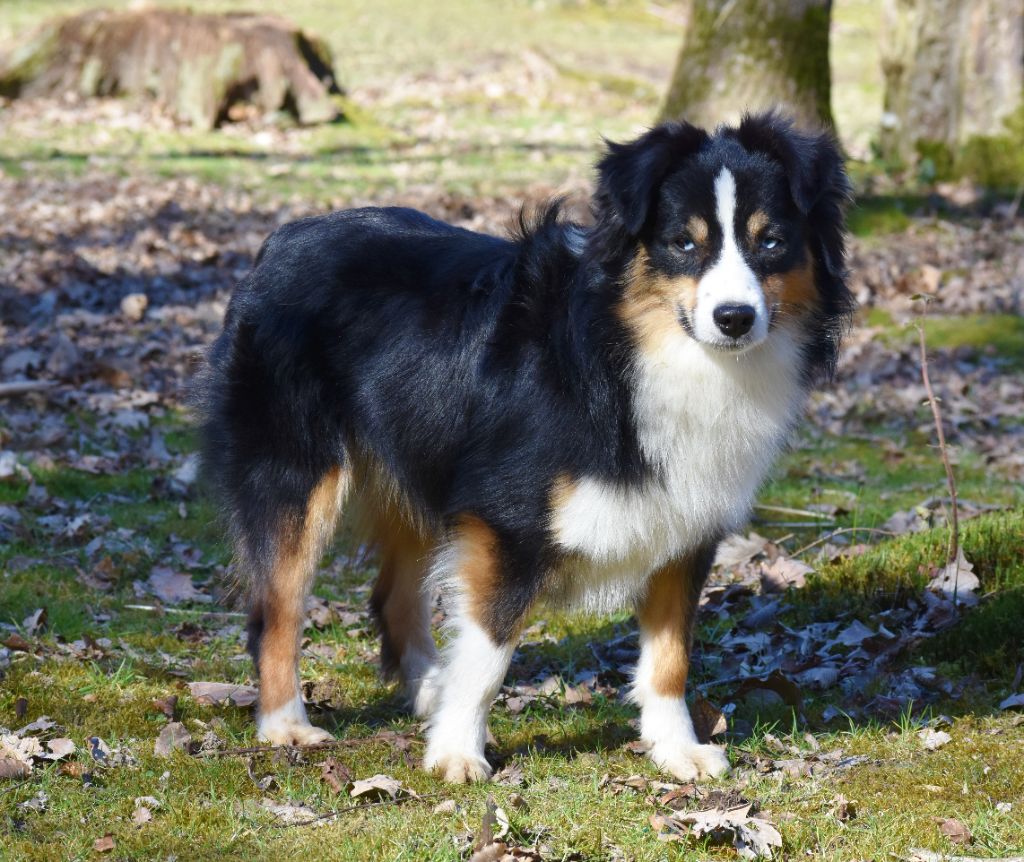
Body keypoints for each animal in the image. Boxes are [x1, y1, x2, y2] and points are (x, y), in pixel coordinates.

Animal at [195, 111, 851, 782]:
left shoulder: (684, 522)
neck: (632, 349)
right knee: (277, 609)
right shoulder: (505, 518)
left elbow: (670, 656)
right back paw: (286, 725)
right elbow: (489, 652)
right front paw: (457, 751)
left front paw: (676, 749)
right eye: (683, 243)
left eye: (770, 242)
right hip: (294, 475)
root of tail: (281, 241)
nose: (735, 318)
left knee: (393, 597)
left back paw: (429, 690)